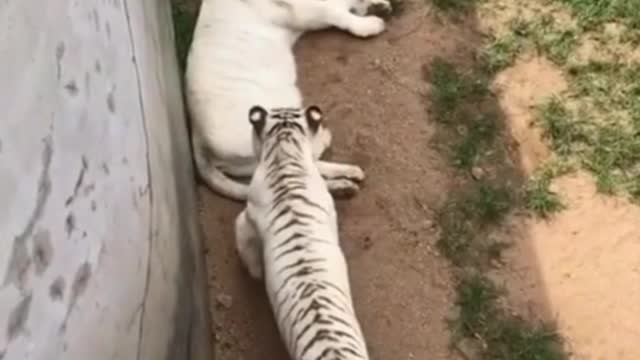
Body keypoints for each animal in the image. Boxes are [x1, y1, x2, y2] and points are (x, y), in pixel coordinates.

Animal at [185, 0, 392, 200]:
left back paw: (344, 183)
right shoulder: (304, 11)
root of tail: (198, 137)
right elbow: (336, 14)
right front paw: (370, 24)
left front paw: (377, 6)